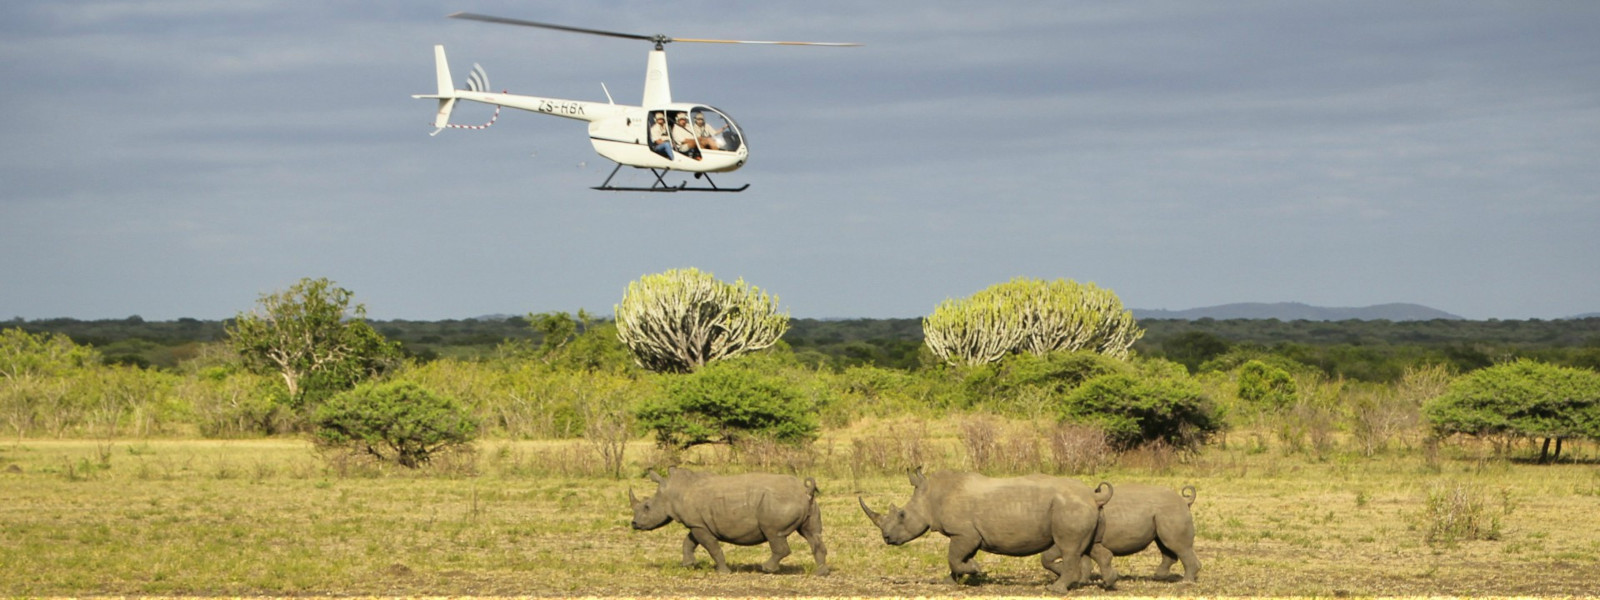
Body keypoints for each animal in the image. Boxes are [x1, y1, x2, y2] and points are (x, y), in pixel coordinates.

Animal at [629, 467, 829, 575]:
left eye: (647, 506)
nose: (634, 524)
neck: (671, 493)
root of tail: (805, 490)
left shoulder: (698, 524)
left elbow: (712, 547)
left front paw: (723, 571)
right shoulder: (697, 523)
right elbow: (689, 542)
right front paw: (688, 565)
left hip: (777, 503)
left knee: (774, 534)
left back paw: (766, 569)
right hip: (809, 504)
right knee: (812, 534)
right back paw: (820, 573)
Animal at [859, 468, 1114, 592]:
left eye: (901, 515)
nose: (886, 538)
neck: (931, 496)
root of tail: (1094, 497)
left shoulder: (963, 533)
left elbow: (954, 557)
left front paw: (976, 570)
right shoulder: (969, 535)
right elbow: (957, 560)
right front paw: (953, 581)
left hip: (1070, 508)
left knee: (1070, 549)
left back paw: (1056, 589)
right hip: (1079, 508)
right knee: (1089, 547)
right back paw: (1108, 583)